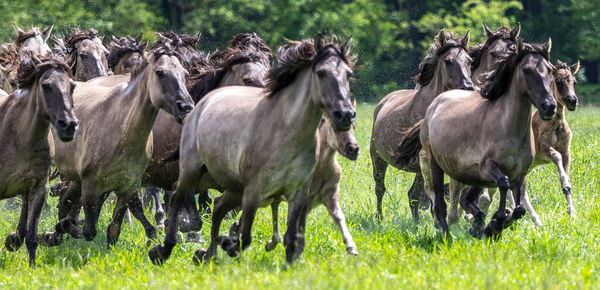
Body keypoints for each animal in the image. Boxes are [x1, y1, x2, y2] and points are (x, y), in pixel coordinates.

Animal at [0, 53, 78, 266]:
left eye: (73, 86)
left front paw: (32, 267)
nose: (69, 125)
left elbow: (32, 237)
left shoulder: (39, 188)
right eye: (46, 86)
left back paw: (14, 239)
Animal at [49, 39, 195, 247]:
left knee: (65, 203)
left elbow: (113, 230)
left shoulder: (127, 188)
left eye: (185, 73)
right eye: (160, 72)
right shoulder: (91, 187)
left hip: (76, 179)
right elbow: (88, 231)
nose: (186, 107)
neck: (123, 134)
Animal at [149, 34, 356, 266]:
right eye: (247, 79)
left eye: (268, 74)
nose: (345, 115)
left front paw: (228, 239)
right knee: (173, 198)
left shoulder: (260, 189)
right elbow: (199, 216)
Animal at [368, 31, 476, 220]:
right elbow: (417, 196)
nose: (468, 87)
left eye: (469, 61)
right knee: (380, 188)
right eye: (448, 61)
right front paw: (418, 224)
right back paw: (380, 218)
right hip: (378, 158)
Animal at [398, 38, 556, 238]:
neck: (509, 127)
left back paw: (477, 222)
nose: (549, 106)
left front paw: (493, 223)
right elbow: (503, 184)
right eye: (526, 70)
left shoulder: (520, 175)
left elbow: (519, 209)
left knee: (466, 199)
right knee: (440, 204)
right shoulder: (488, 167)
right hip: (436, 165)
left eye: (549, 69)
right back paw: (447, 234)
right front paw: (496, 222)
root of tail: (435, 102)